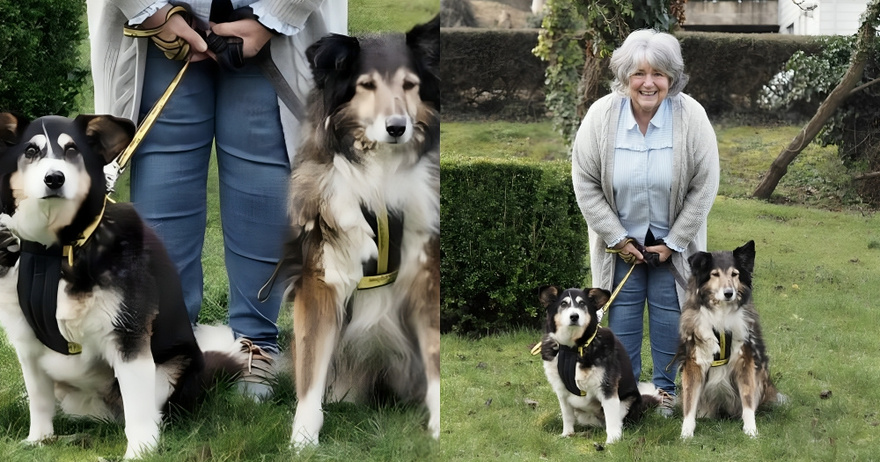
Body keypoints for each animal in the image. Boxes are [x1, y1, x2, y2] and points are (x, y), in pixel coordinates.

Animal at [0, 113, 253, 458]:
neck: (57, 252)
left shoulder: (129, 337)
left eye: (72, 150)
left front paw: (140, 453)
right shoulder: (27, 342)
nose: (54, 179)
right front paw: (39, 440)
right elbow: (39, 402)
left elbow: (138, 412)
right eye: (30, 151)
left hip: (170, 369)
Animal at [276, 15, 440, 448]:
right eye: (366, 85)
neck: (380, 174)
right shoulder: (321, 278)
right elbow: (311, 369)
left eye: (409, 85)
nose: (397, 128)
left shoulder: (426, 272)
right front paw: (303, 438)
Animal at [536, 286, 668, 444]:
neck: (573, 349)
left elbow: (612, 420)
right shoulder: (561, 390)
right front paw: (567, 434)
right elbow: (567, 416)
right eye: (563, 304)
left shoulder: (607, 387)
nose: (574, 316)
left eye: (582, 304)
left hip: (627, 402)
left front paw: (612, 441)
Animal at [676, 240, 788, 438]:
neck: (721, 314)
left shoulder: (745, 358)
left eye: (735, 274)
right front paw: (686, 433)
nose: (729, 293)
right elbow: (689, 401)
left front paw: (751, 430)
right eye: (715, 274)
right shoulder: (695, 360)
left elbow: (748, 399)